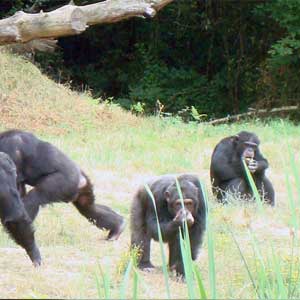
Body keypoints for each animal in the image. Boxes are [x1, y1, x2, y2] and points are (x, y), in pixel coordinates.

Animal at [0, 129, 126, 264]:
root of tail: (80, 180)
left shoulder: (9, 151)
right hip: (82, 190)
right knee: (89, 209)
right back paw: (118, 226)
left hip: (62, 184)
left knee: (32, 199)